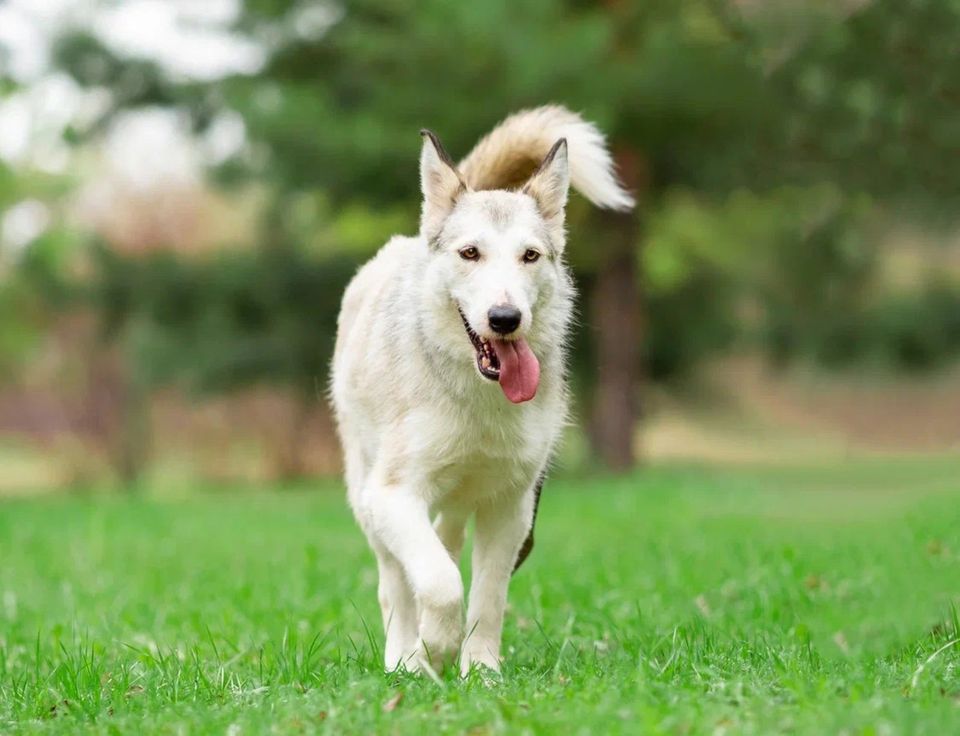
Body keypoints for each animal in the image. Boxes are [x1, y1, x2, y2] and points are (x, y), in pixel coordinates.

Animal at [334, 106, 632, 676]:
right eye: (469, 253)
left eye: (530, 256)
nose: (505, 318)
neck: (480, 399)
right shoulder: (393, 495)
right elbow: (440, 583)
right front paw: (433, 650)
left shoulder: (512, 507)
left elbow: (486, 596)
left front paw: (481, 671)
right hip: (366, 493)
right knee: (396, 582)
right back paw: (403, 657)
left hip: (455, 503)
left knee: (445, 542)